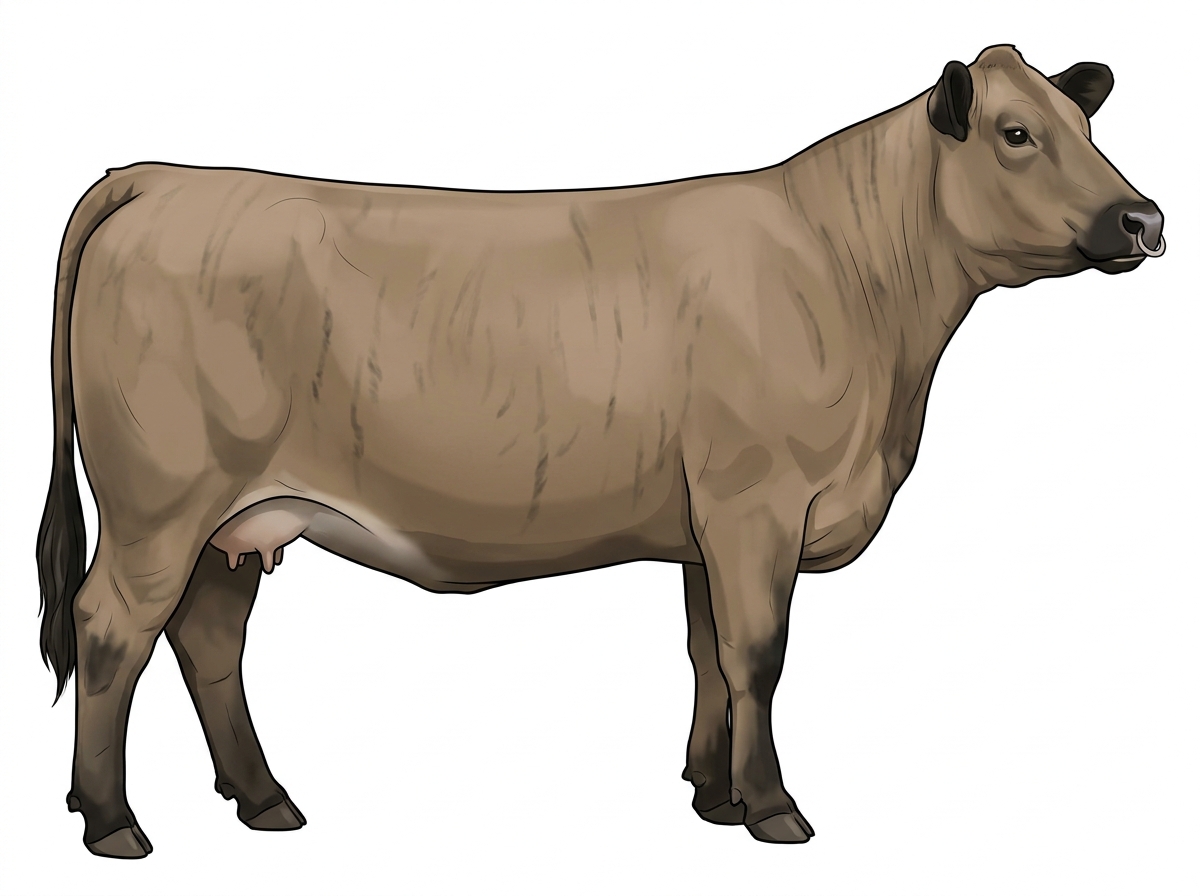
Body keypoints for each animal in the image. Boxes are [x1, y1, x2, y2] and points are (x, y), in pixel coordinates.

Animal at [37, 44, 1164, 858]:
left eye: (1085, 125)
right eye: (1017, 133)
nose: (1143, 217)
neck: (857, 282)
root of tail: (160, 177)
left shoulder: (711, 523)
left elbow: (709, 650)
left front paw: (713, 793)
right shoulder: (757, 504)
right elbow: (759, 653)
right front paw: (773, 807)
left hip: (238, 517)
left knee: (208, 637)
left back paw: (263, 798)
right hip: (159, 503)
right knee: (111, 629)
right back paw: (113, 821)